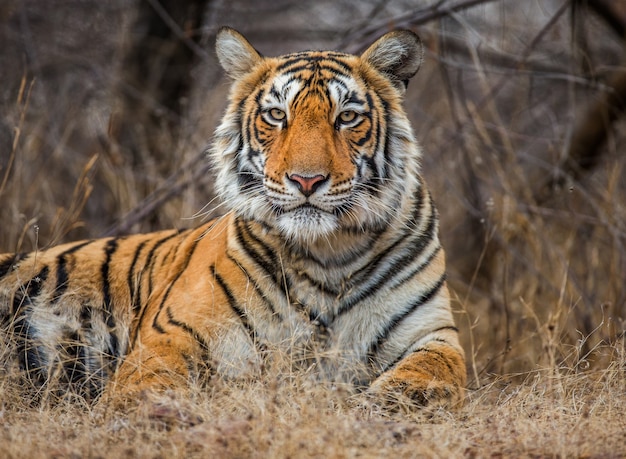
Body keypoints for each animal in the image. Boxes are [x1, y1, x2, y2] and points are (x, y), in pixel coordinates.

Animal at [0, 27, 466, 408]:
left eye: (347, 117)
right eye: (277, 115)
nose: (307, 180)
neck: (328, 254)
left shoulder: (432, 332)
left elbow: (435, 371)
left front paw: (394, 399)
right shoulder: (171, 333)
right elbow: (150, 384)